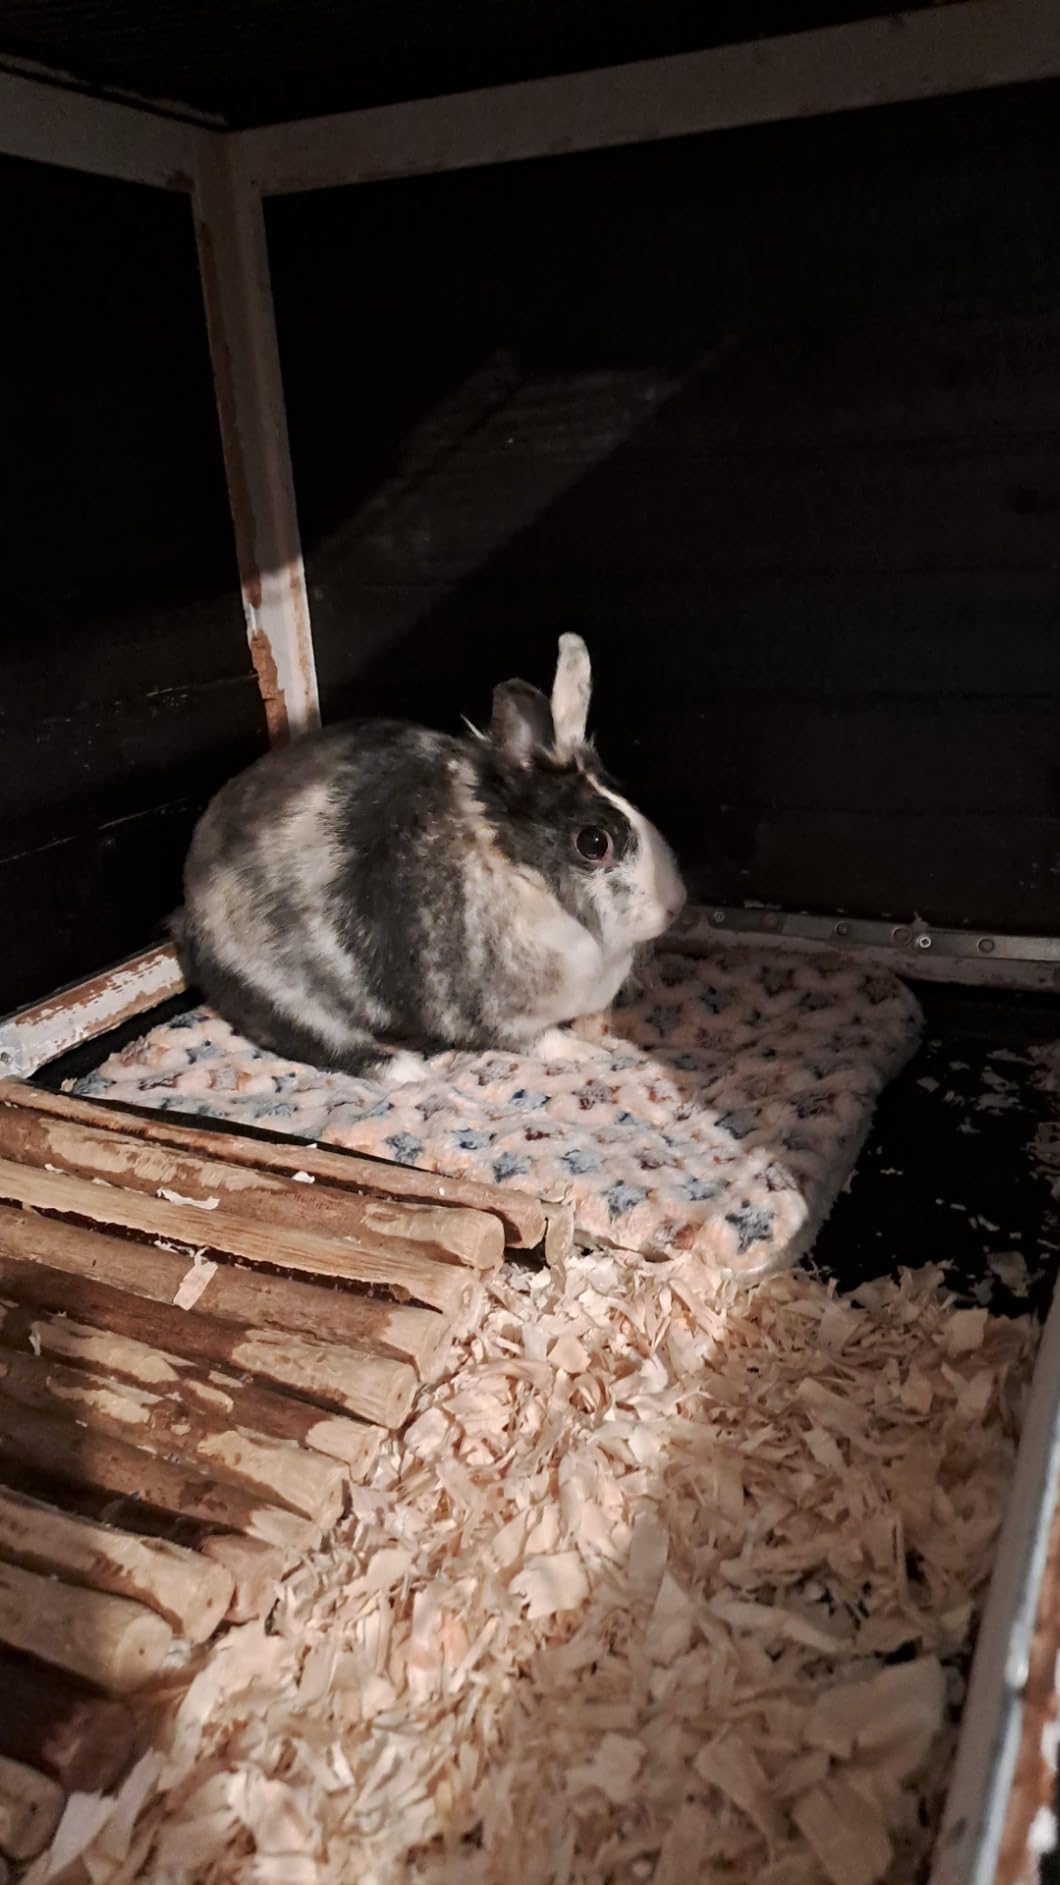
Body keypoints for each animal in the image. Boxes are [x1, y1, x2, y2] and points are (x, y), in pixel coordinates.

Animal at [173, 633, 686, 1080]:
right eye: (594, 843)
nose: (676, 904)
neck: (523, 876)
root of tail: (189, 913)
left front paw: (599, 1032)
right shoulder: (493, 1013)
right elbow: (539, 1041)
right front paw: (586, 1053)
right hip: (280, 986)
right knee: (314, 1038)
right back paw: (406, 1071)